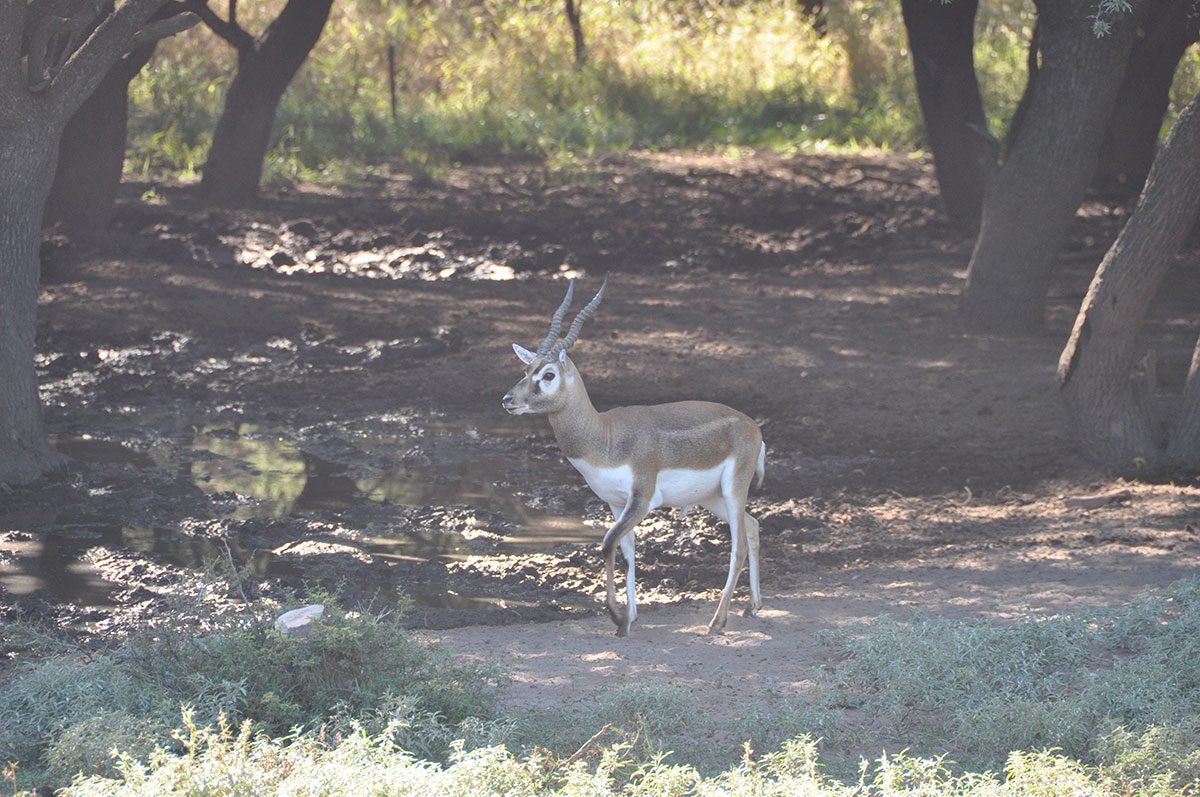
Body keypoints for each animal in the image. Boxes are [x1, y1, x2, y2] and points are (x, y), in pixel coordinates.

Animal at [499, 279, 763, 633]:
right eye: (527, 369)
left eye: (549, 374)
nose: (508, 400)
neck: (604, 436)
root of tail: (752, 426)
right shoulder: (615, 502)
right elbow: (626, 551)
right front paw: (631, 618)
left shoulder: (642, 499)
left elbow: (607, 543)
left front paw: (617, 618)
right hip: (712, 497)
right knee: (753, 526)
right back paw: (753, 606)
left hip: (734, 489)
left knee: (738, 546)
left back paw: (716, 622)